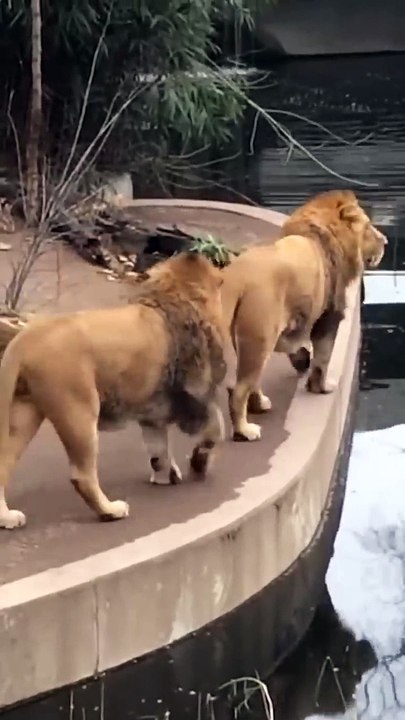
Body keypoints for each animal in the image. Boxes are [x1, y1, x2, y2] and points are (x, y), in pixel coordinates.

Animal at [0, 252, 227, 530]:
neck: (171, 293)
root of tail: (24, 339)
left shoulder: (153, 410)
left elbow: (158, 447)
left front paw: (165, 475)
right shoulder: (197, 394)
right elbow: (215, 429)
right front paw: (198, 464)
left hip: (25, 412)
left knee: (3, 463)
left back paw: (7, 517)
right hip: (79, 409)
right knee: (82, 475)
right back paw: (110, 510)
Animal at [221, 190, 387, 442]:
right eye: (368, 226)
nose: (385, 241)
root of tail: (237, 276)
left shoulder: (299, 319)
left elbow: (299, 348)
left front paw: (302, 360)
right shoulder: (330, 316)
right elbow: (323, 359)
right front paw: (321, 388)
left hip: (246, 340)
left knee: (246, 382)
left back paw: (260, 405)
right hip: (260, 338)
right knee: (239, 389)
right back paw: (245, 430)